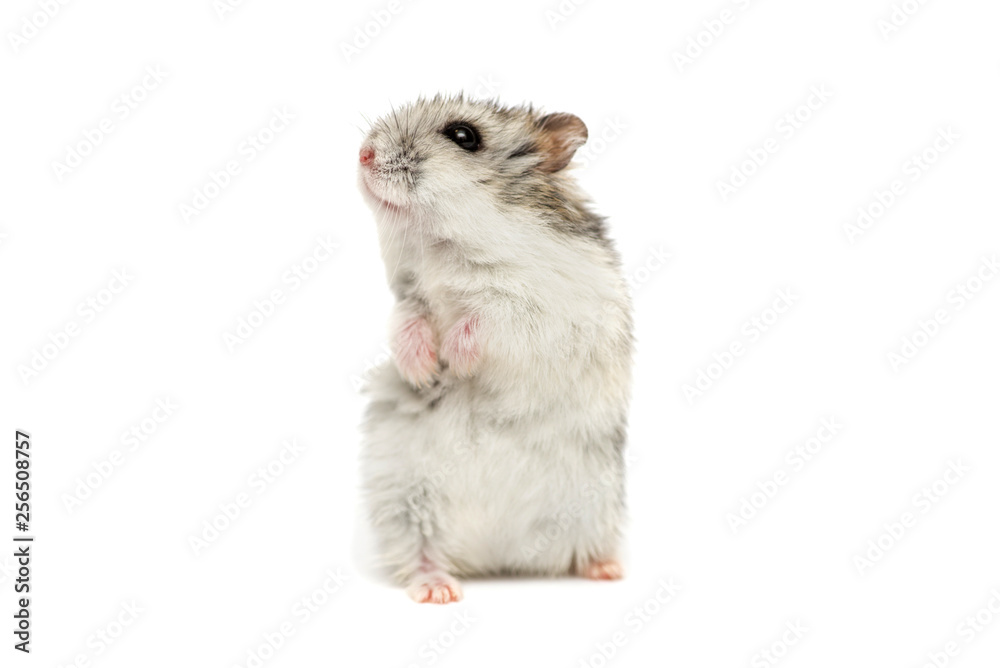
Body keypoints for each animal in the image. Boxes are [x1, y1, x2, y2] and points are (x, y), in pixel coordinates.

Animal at [357, 94, 633, 604]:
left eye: (464, 136)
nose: (363, 155)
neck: (443, 248)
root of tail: (500, 557)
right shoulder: (409, 300)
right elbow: (408, 324)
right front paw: (425, 370)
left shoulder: (542, 311)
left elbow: (487, 319)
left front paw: (455, 362)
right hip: (403, 501)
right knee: (422, 553)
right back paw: (438, 589)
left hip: (596, 503)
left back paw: (607, 569)